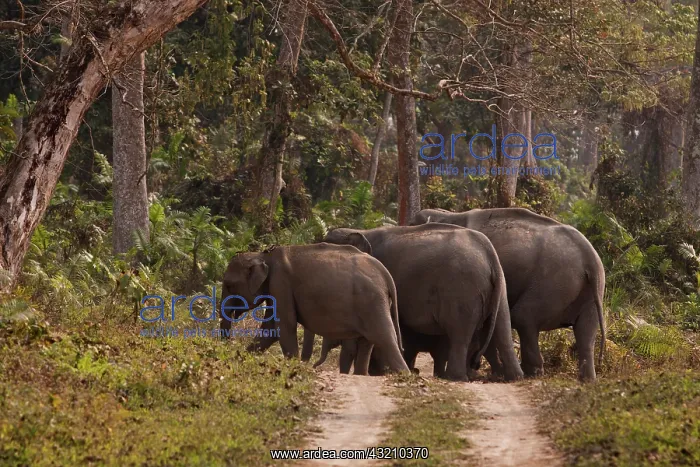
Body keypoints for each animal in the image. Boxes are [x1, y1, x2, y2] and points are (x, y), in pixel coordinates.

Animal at [220, 244, 409, 374]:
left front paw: (292, 367)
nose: (227, 347)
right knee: (368, 343)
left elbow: (285, 326)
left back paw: (404, 376)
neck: (264, 255)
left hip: (372, 301)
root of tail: (385, 272)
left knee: (385, 338)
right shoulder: (276, 288)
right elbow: (270, 329)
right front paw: (239, 361)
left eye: (229, 285)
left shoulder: (280, 284)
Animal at [318, 223, 523, 381]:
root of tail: (489, 254)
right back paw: (514, 377)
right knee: (502, 328)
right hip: (499, 287)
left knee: (459, 332)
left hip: (461, 289)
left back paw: (455, 378)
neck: (360, 231)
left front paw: (379, 372)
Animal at [411, 207, 606, 382]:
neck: (449, 215)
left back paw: (532, 372)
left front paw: (477, 372)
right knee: (586, 332)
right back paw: (587, 379)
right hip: (589, 291)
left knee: (524, 317)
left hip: (554, 282)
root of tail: (589, 257)